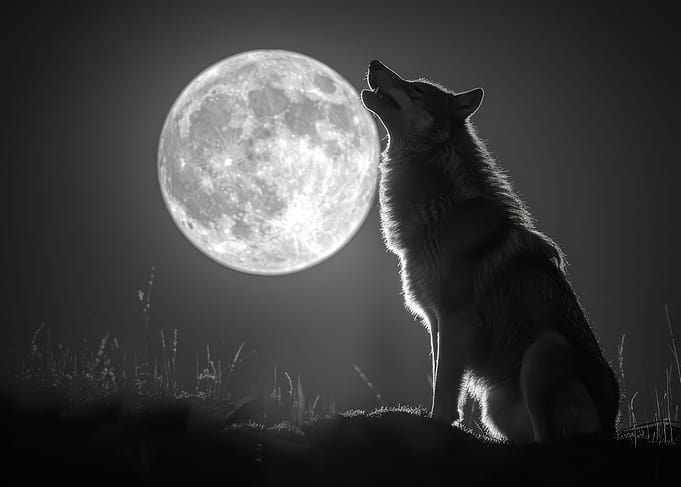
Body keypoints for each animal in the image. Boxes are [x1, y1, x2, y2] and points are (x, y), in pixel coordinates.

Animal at [361, 60, 619, 442]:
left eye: (416, 90)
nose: (374, 63)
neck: (441, 213)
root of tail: (612, 428)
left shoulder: (455, 317)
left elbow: (445, 386)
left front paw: (436, 424)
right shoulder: (435, 319)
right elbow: (440, 378)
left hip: (544, 350)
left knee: (547, 437)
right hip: (495, 406)